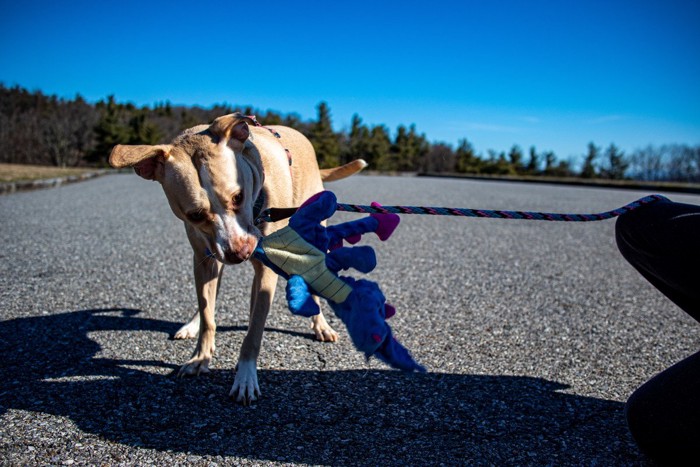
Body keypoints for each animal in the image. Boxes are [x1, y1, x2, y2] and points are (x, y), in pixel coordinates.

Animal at [109, 111, 366, 404]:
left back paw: (321, 325)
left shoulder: (266, 270)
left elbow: (254, 330)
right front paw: (200, 357)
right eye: (194, 214)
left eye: (238, 196)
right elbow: (209, 314)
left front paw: (244, 377)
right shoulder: (205, 260)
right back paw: (192, 324)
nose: (239, 252)